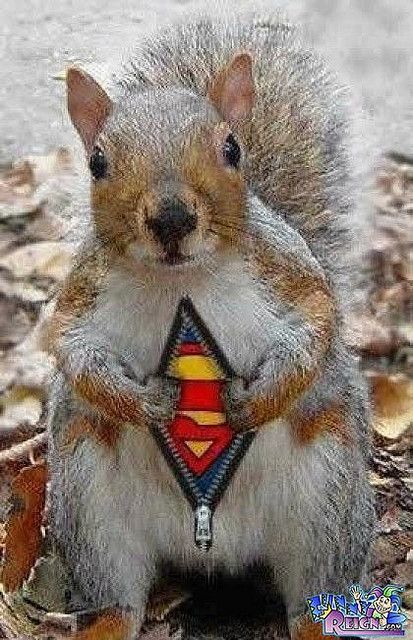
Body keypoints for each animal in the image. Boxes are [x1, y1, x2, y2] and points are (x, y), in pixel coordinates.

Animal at [45, 13, 375, 640]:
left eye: (231, 148)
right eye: (97, 162)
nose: (172, 218)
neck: (181, 283)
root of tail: (212, 546)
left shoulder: (289, 273)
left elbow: (317, 324)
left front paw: (256, 400)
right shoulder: (79, 300)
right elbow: (73, 352)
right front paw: (144, 401)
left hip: (328, 499)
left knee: (313, 592)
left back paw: (317, 620)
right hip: (89, 500)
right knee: (118, 594)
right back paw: (107, 622)